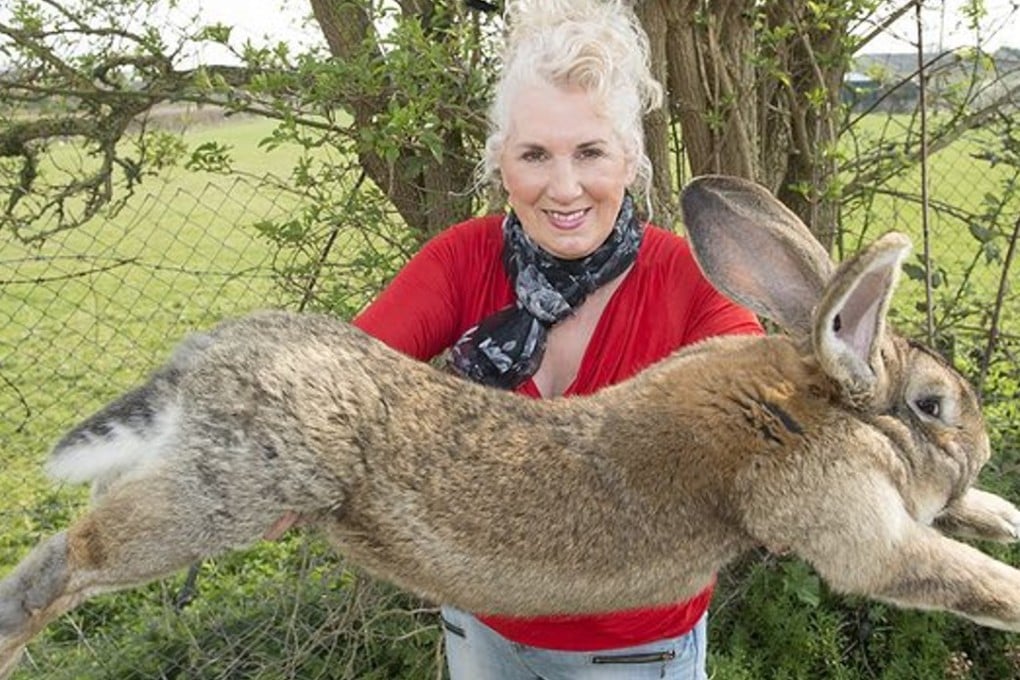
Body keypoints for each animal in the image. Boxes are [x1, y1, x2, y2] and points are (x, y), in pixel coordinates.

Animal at [2, 174, 1020, 678]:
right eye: (933, 405)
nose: (983, 447)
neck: (811, 402)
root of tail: (199, 365)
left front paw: (1001, 513)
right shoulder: (850, 525)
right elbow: (951, 575)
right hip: (231, 493)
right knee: (76, 555)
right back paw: (13, 630)